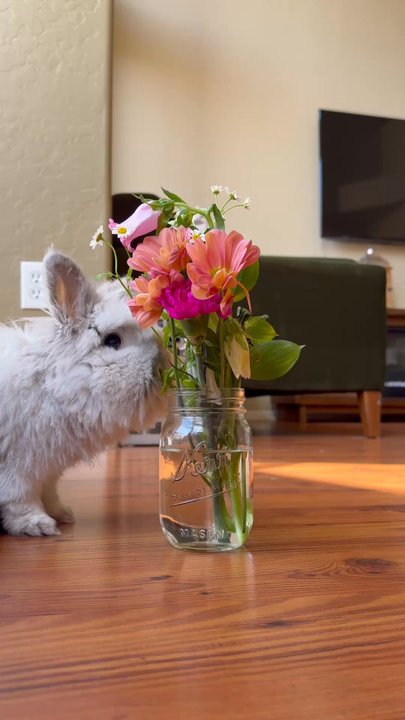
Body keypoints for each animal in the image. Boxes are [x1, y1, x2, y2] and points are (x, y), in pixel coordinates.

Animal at [0, 249, 166, 536]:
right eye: (113, 341)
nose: (161, 369)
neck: (51, 386)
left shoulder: (48, 472)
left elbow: (50, 493)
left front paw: (62, 514)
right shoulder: (17, 467)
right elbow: (19, 499)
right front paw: (38, 525)